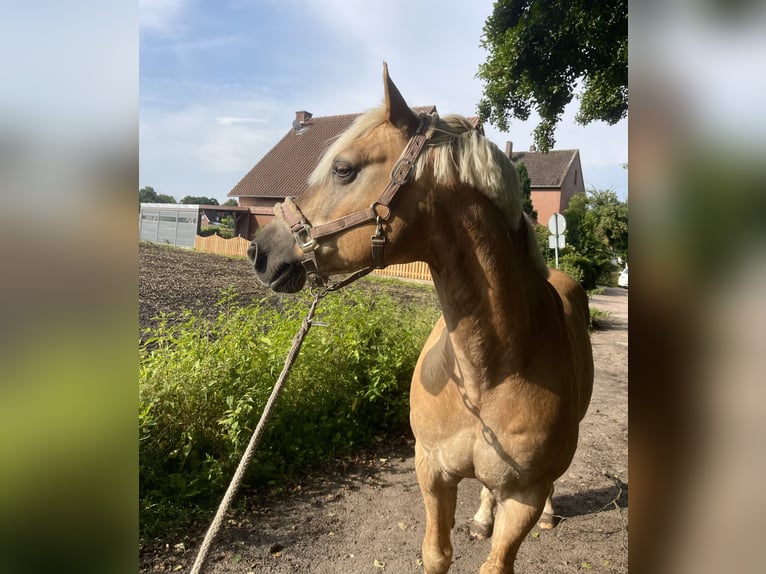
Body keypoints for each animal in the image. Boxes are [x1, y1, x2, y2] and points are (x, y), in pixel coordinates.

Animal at [249, 63, 596, 574]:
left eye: (343, 168)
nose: (259, 251)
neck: (489, 369)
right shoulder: (430, 469)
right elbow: (437, 554)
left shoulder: (525, 497)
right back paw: (480, 518)